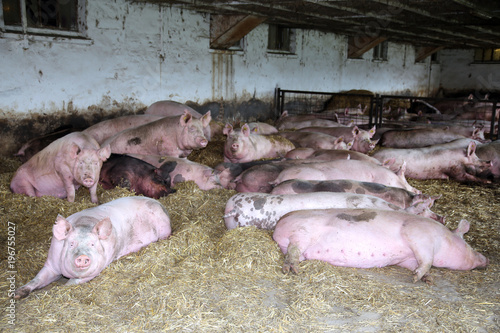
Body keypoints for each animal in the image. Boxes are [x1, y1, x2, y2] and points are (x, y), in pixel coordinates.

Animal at [14, 195, 171, 298]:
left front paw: (58, 289)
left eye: (92, 244)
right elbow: (37, 279)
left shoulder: (97, 269)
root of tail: (158, 203)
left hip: (164, 227)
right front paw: (17, 294)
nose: (83, 256)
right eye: (71, 243)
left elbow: (72, 283)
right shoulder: (51, 264)